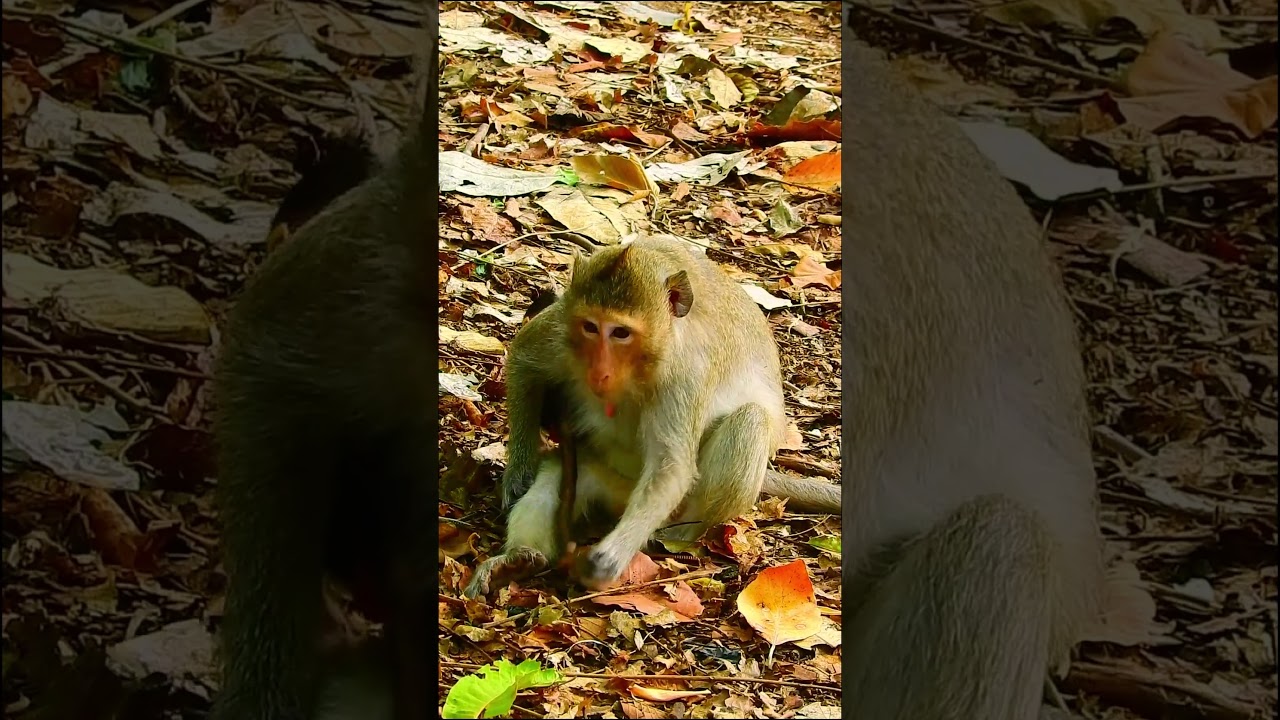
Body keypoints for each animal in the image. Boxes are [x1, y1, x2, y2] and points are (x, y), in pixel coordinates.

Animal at [463, 234, 843, 598]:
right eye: (590, 327)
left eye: (621, 333)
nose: (598, 372)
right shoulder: (560, 330)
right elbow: (524, 361)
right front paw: (518, 471)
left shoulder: (687, 373)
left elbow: (671, 467)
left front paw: (608, 560)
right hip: (603, 477)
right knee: (557, 475)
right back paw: (517, 560)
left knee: (749, 420)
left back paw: (681, 534)